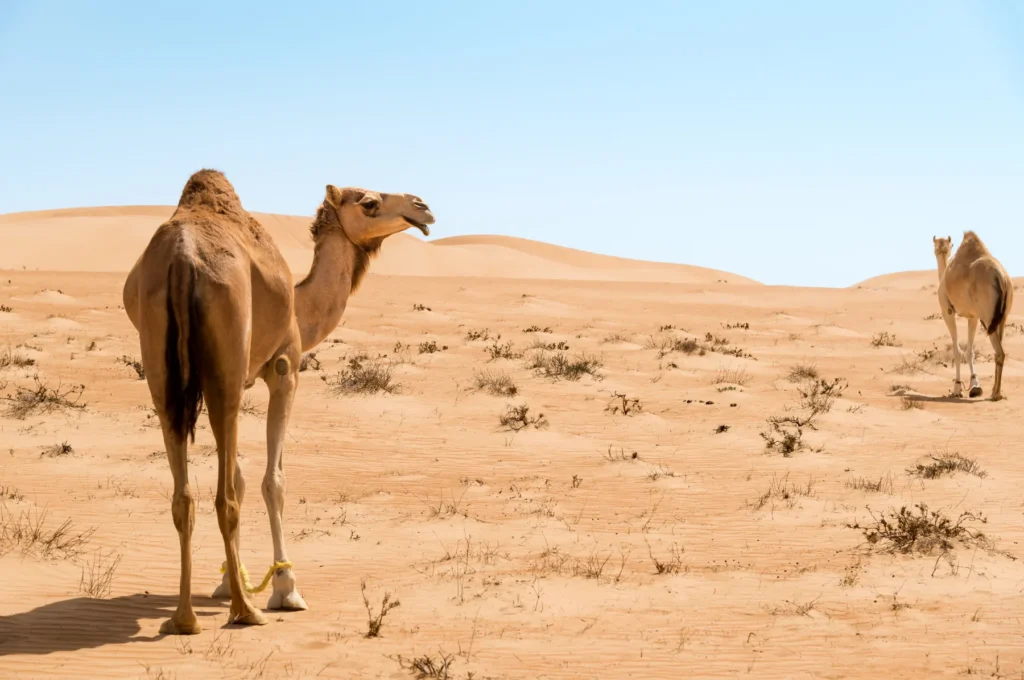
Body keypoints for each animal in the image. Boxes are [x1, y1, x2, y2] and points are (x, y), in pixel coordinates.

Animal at [122, 169, 434, 634]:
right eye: (369, 203)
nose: (423, 207)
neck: (301, 309)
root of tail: (182, 260)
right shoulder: (285, 368)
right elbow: (273, 480)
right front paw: (285, 589)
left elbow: (240, 476)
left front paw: (225, 581)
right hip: (226, 365)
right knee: (225, 496)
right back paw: (244, 611)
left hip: (163, 372)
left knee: (185, 493)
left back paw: (185, 618)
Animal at [932, 231, 1012, 400]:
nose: (940, 248)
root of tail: (1001, 277)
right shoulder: (973, 316)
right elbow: (969, 351)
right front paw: (975, 387)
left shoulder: (947, 310)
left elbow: (957, 350)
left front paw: (957, 389)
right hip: (1001, 317)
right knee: (999, 349)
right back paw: (995, 391)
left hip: (987, 316)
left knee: (999, 352)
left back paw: (996, 394)